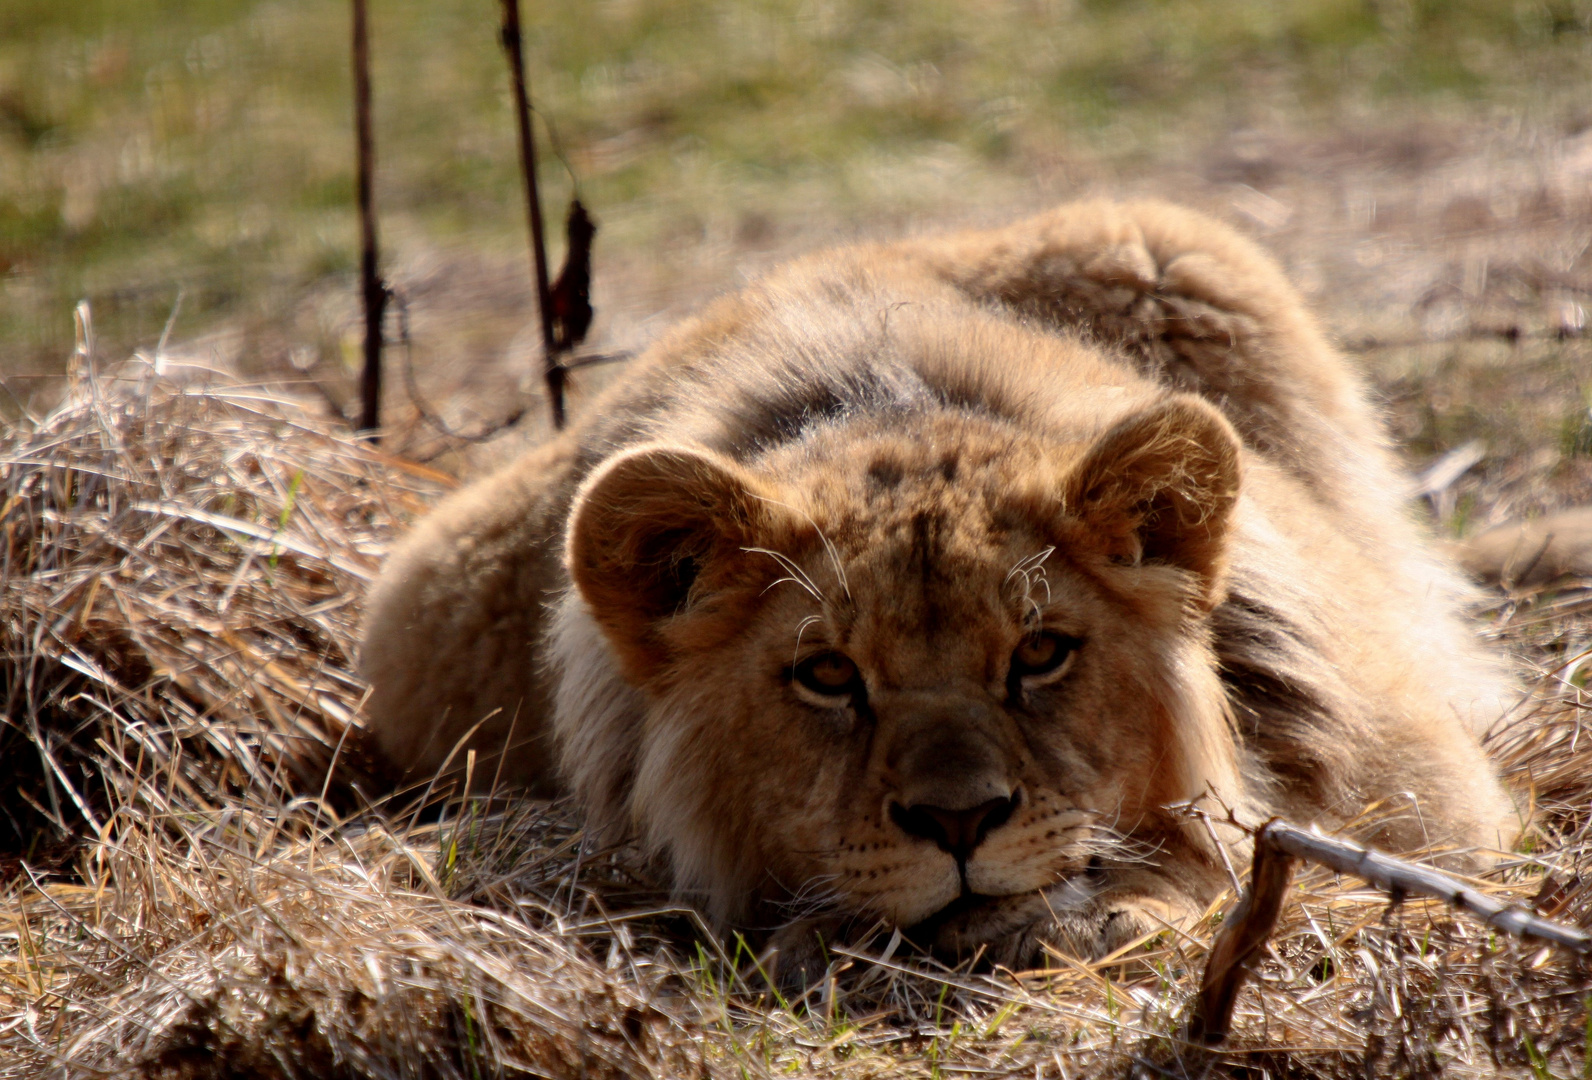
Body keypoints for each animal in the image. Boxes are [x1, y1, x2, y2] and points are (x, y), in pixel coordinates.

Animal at [361, 199, 1515, 974]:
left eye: (1040, 653)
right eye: (828, 677)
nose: (958, 825)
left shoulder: (1434, 805)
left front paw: (1130, 910)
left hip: (1178, 237)